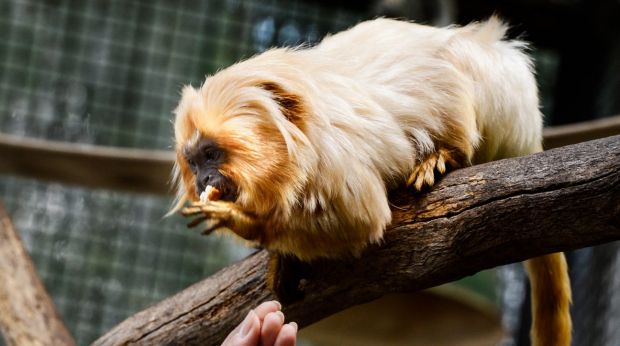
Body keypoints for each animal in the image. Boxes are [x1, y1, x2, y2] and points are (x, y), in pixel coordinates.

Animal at [170, 17, 572, 346]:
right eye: (193, 163)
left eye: (211, 155)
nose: (203, 179)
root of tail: (529, 133)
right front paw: (280, 255)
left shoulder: (335, 156)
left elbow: (362, 218)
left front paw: (245, 221)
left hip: (503, 95)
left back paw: (442, 155)